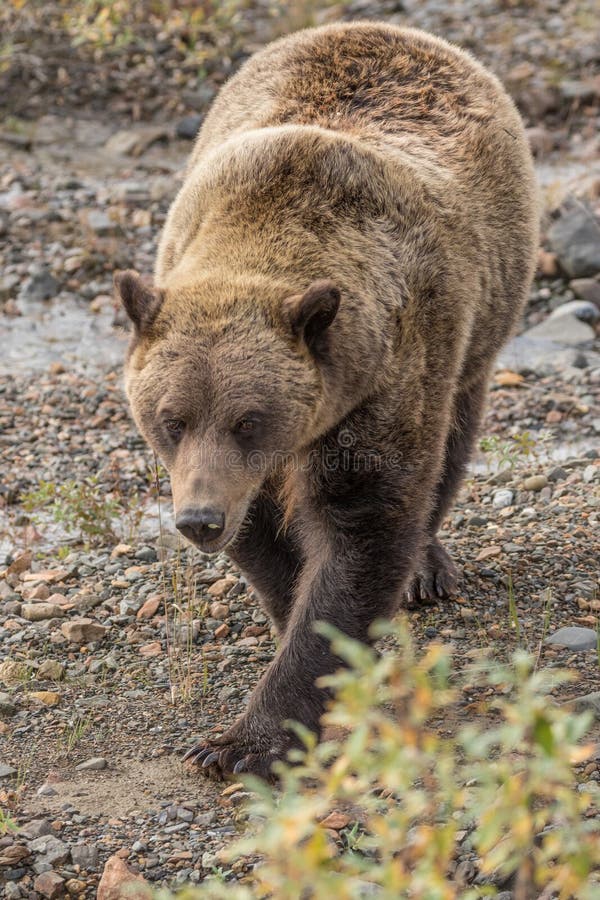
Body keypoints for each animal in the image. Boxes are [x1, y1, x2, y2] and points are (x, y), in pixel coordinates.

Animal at [115, 21, 538, 778]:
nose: (198, 520)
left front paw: (239, 742)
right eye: (171, 419)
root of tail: (388, 27)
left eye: (248, 419)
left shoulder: (388, 377)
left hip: (484, 319)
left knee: (453, 439)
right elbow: (269, 540)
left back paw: (428, 567)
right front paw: (286, 619)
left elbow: (363, 528)